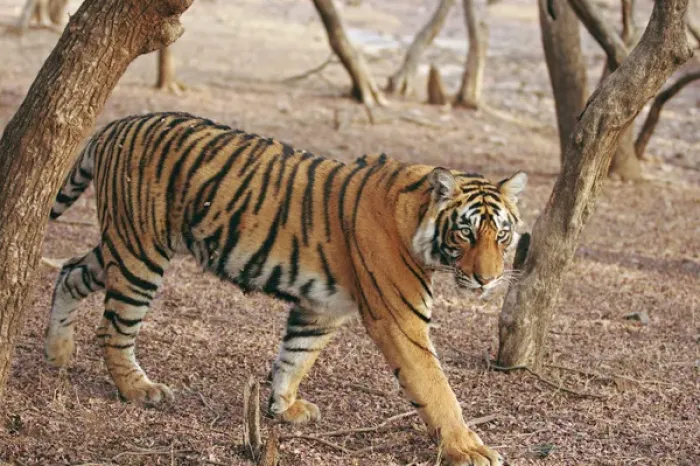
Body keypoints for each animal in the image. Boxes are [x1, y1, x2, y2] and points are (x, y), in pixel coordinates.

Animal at [45, 112, 526, 466]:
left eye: (501, 235)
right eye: (466, 233)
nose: (487, 279)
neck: (417, 219)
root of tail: (115, 125)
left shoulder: (322, 306)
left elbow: (296, 355)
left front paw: (283, 407)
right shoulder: (400, 320)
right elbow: (436, 387)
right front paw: (469, 448)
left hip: (121, 246)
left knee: (69, 271)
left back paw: (59, 352)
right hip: (139, 252)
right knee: (114, 328)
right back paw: (138, 390)